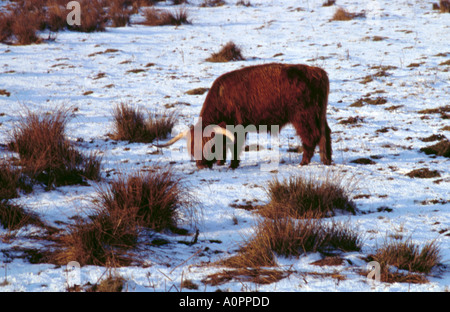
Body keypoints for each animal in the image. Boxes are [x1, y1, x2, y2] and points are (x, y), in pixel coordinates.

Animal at [155, 62, 330, 168]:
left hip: (303, 116)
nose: (201, 165)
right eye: (192, 147)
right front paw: (221, 162)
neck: (222, 97)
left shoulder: (238, 126)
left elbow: (234, 146)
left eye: (208, 145)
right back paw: (326, 160)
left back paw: (304, 162)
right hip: (319, 114)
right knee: (325, 134)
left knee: (311, 137)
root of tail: (317, 72)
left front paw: (232, 165)